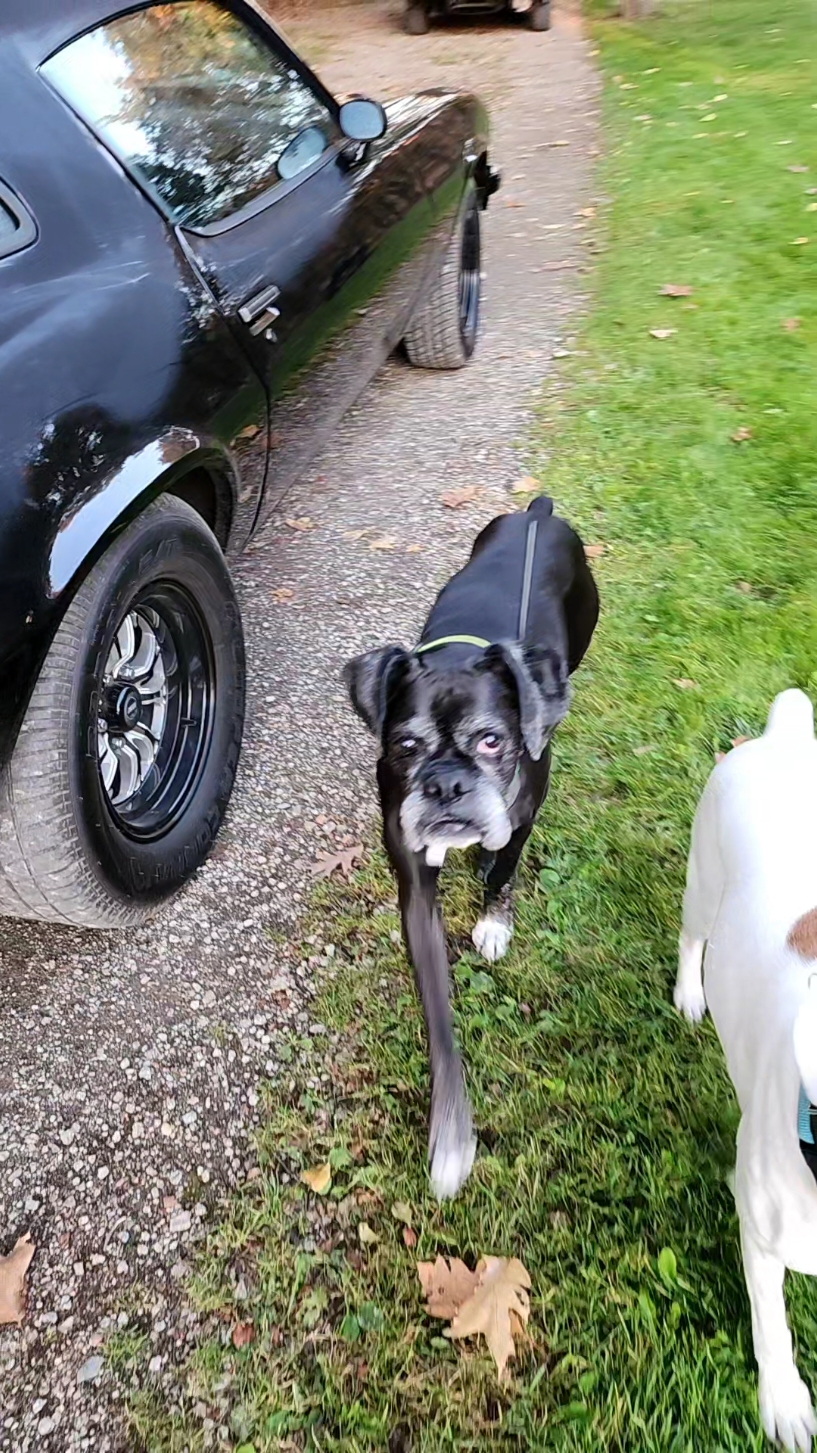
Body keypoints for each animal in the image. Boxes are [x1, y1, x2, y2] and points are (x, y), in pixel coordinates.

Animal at [340, 494, 596, 1197]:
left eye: (492, 740)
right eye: (405, 746)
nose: (447, 784)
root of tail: (540, 510)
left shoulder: (522, 817)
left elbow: (503, 868)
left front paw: (494, 920)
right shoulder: (414, 894)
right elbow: (440, 1021)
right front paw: (452, 1136)